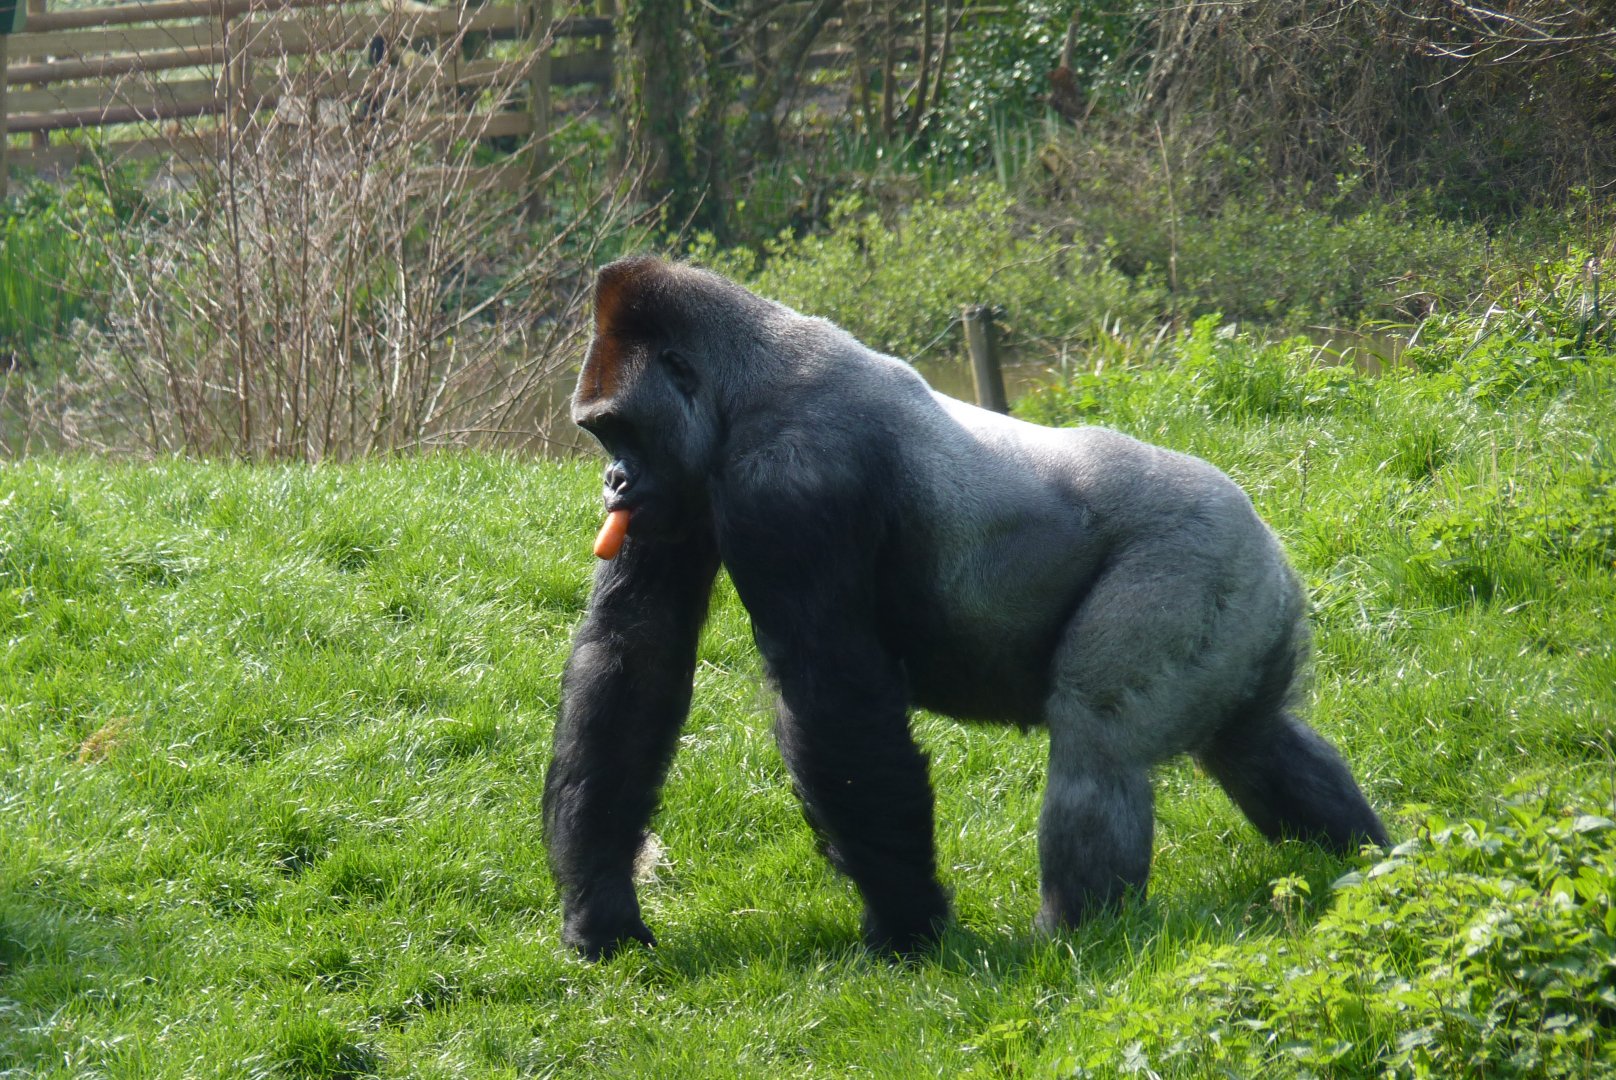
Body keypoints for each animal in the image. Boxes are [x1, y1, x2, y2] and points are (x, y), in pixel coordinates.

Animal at [542, 256, 1389, 960]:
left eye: (616, 429)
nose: (614, 484)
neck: (747, 379)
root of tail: (1265, 531)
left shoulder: (789, 480)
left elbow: (833, 695)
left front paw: (909, 927)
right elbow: (636, 654)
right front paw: (601, 909)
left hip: (1199, 556)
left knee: (1099, 742)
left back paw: (1075, 936)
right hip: (1248, 601)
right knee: (1256, 741)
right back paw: (1365, 856)